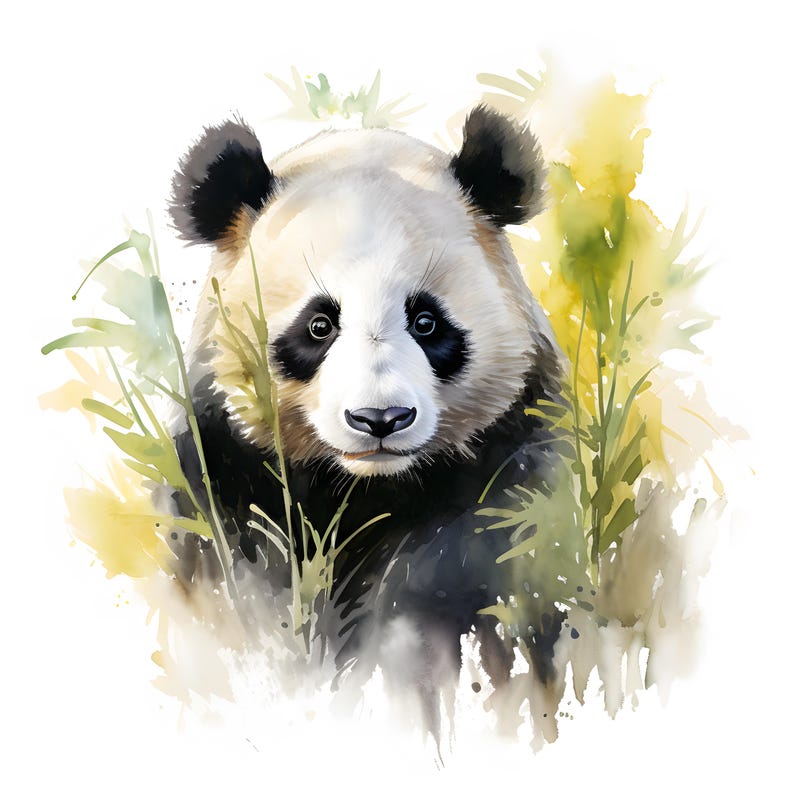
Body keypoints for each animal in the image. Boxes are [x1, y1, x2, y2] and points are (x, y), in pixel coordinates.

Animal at [169, 106, 564, 728]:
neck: (365, 489)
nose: (380, 418)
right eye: (319, 325)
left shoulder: (513, 462)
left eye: (426, 321)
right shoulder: (223, 470)